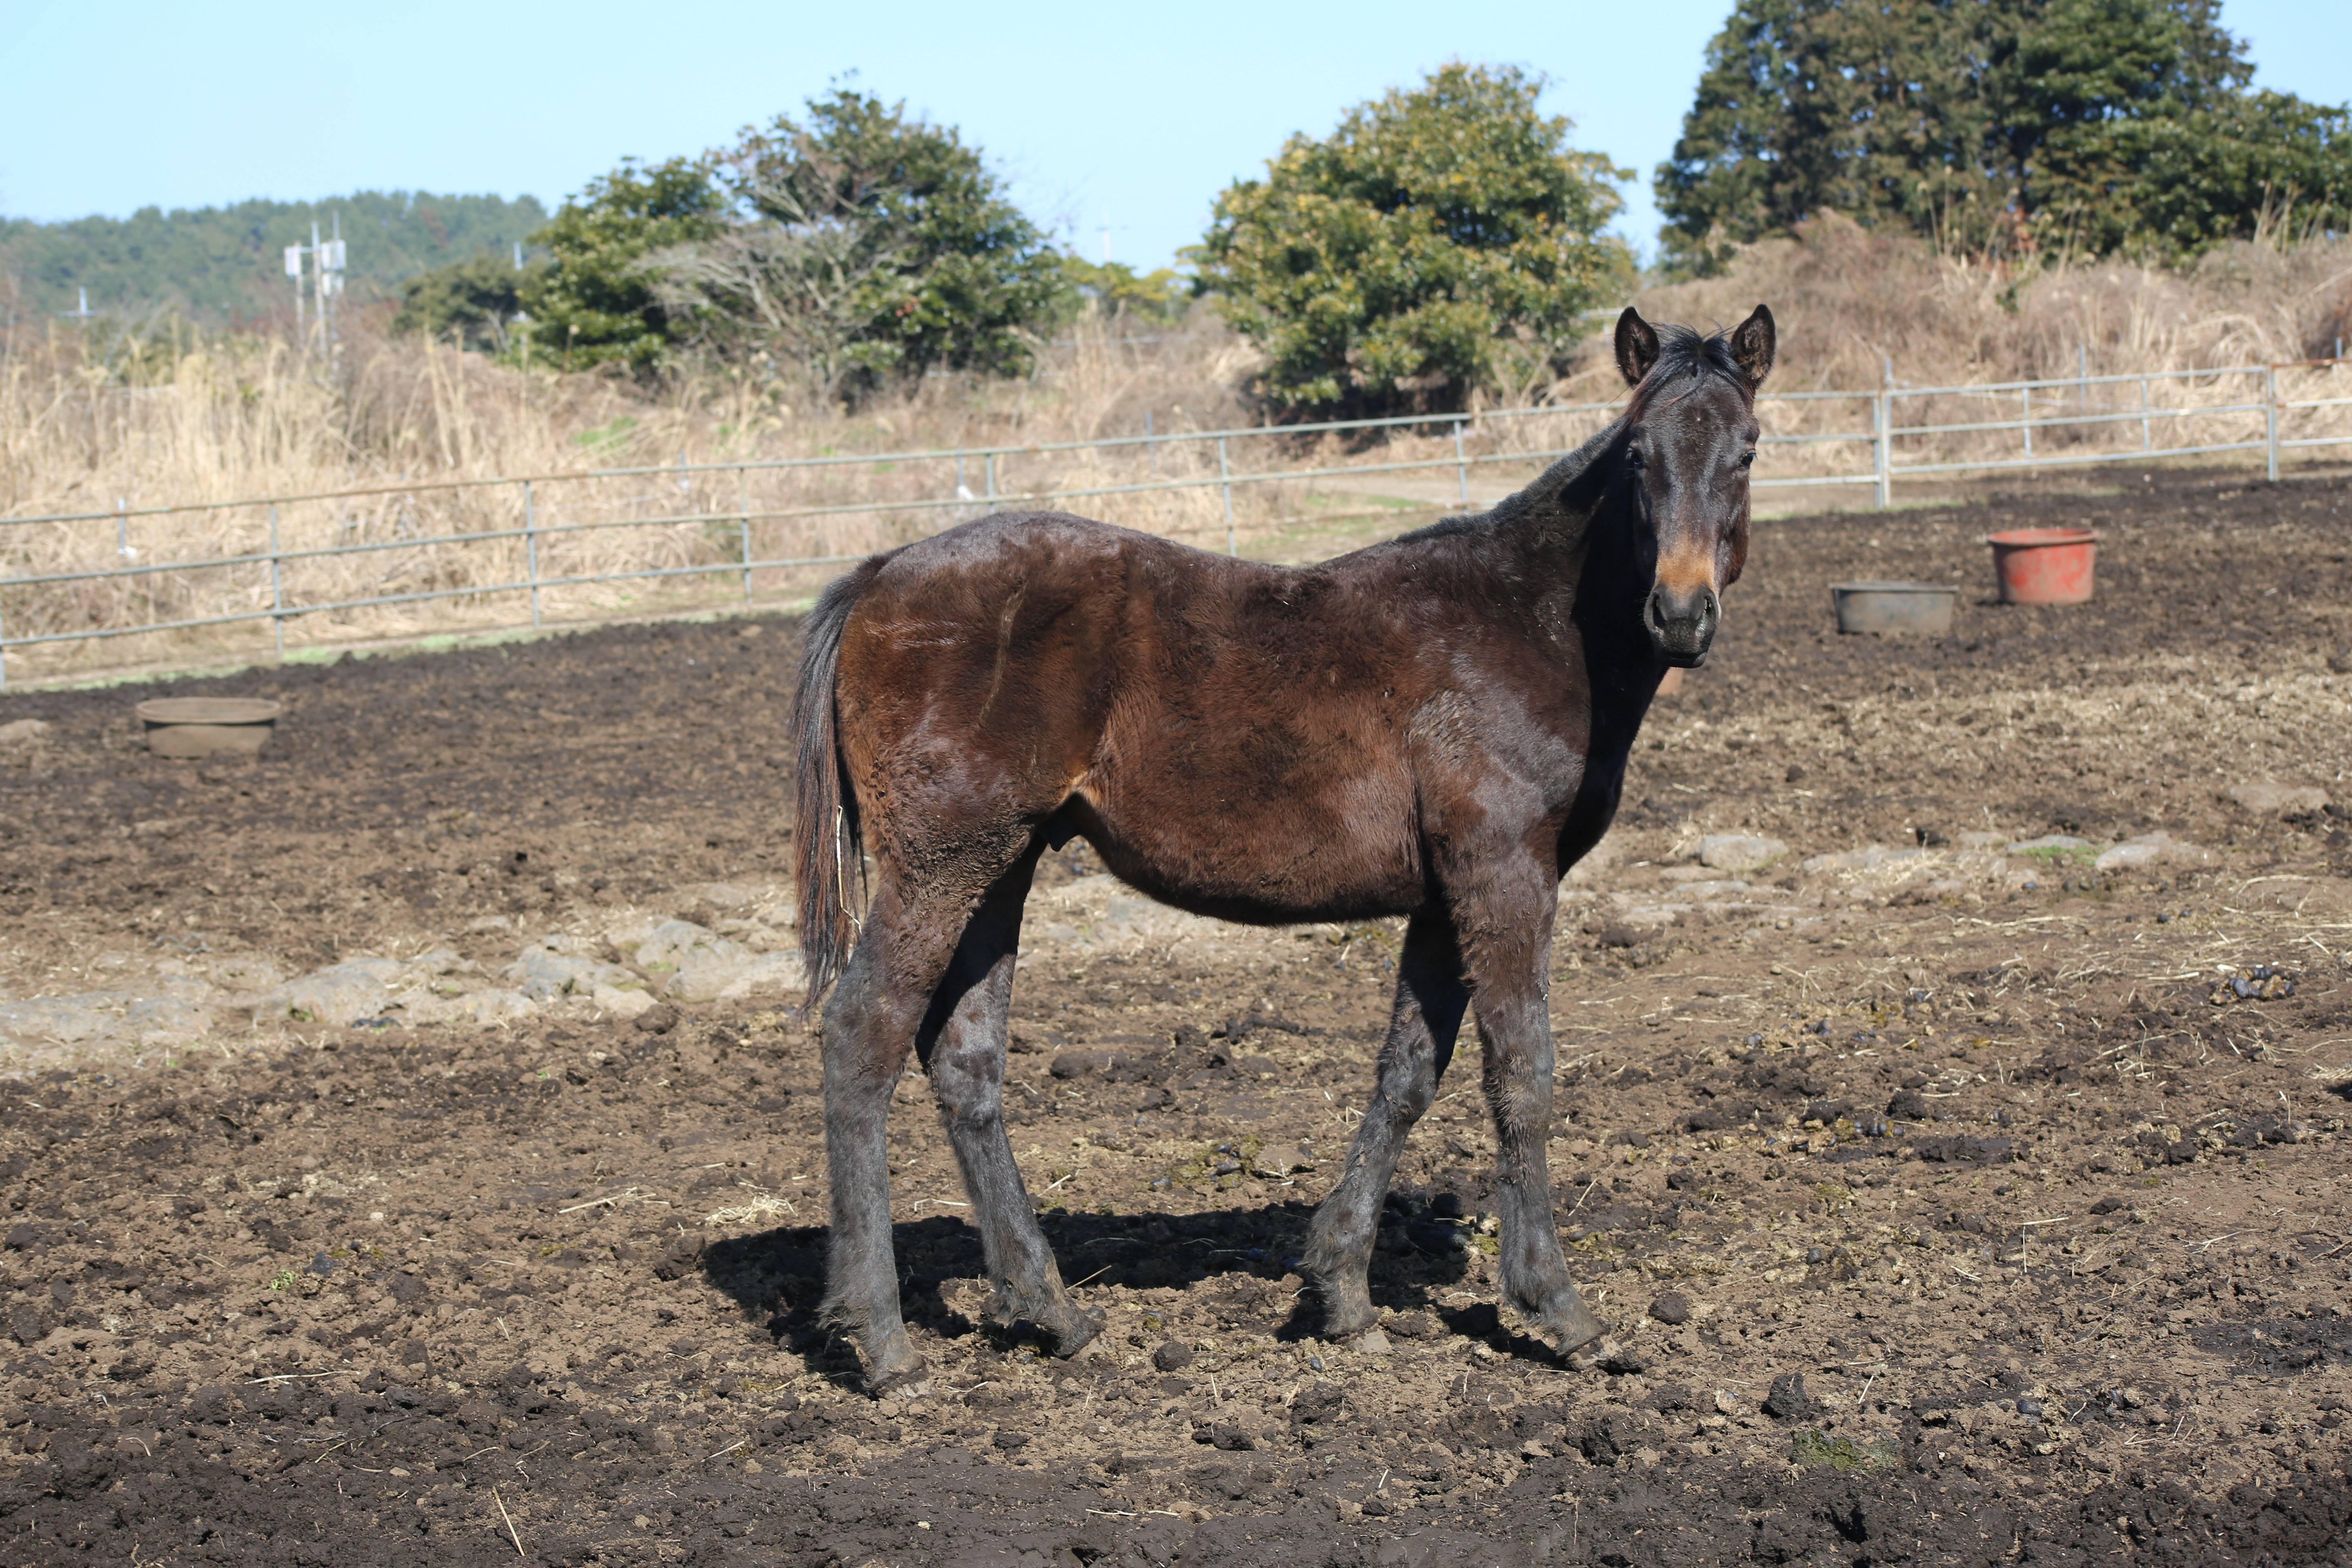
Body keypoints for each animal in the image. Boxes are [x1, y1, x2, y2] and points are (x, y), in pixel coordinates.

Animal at [785, 301, 1768, 1392]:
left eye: (1747, 448)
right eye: (1638, 455)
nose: (1679, 615)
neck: (1525, 626)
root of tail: (879, 574)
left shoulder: (1442, 897)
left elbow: (1406, 1074)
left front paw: (1340, 1291)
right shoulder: (1506, 875)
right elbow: (1521, 1074)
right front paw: (1556, 1306)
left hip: (999, 868)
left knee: (962, 1060)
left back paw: (1049, 1311)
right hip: (939, 867)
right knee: (861, 1035)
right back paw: (880, 1337)